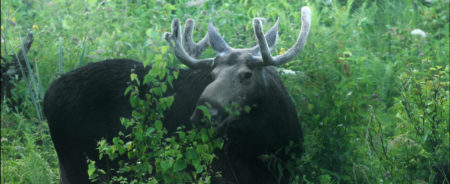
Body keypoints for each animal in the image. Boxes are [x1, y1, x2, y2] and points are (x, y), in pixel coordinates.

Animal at [44, 6, 312, 183]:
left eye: (247, 75)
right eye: (212, 74)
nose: (202, 114)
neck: (271, 139)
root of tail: (46, 97)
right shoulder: (221, 172)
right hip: (78, 164)